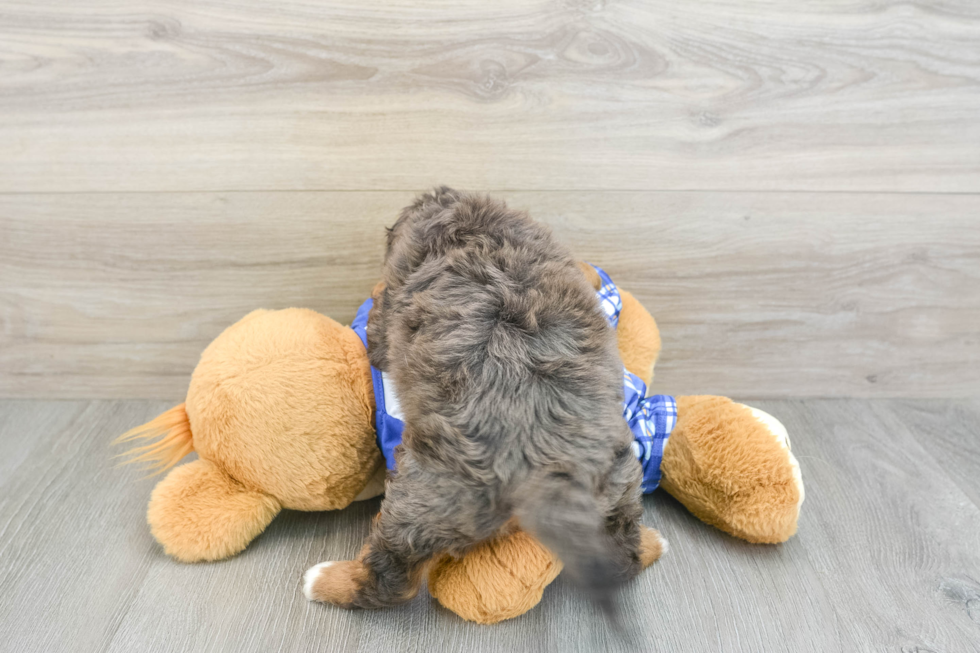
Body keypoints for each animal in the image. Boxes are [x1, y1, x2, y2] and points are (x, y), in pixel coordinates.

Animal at [304, 187, 660, 612]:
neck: (475, 226)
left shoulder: (389, 314)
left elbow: (379, 320)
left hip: (422, 501)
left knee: (392, 580)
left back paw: (324, 580)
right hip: (619, 489)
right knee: (624, 558)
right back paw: (653, 543)